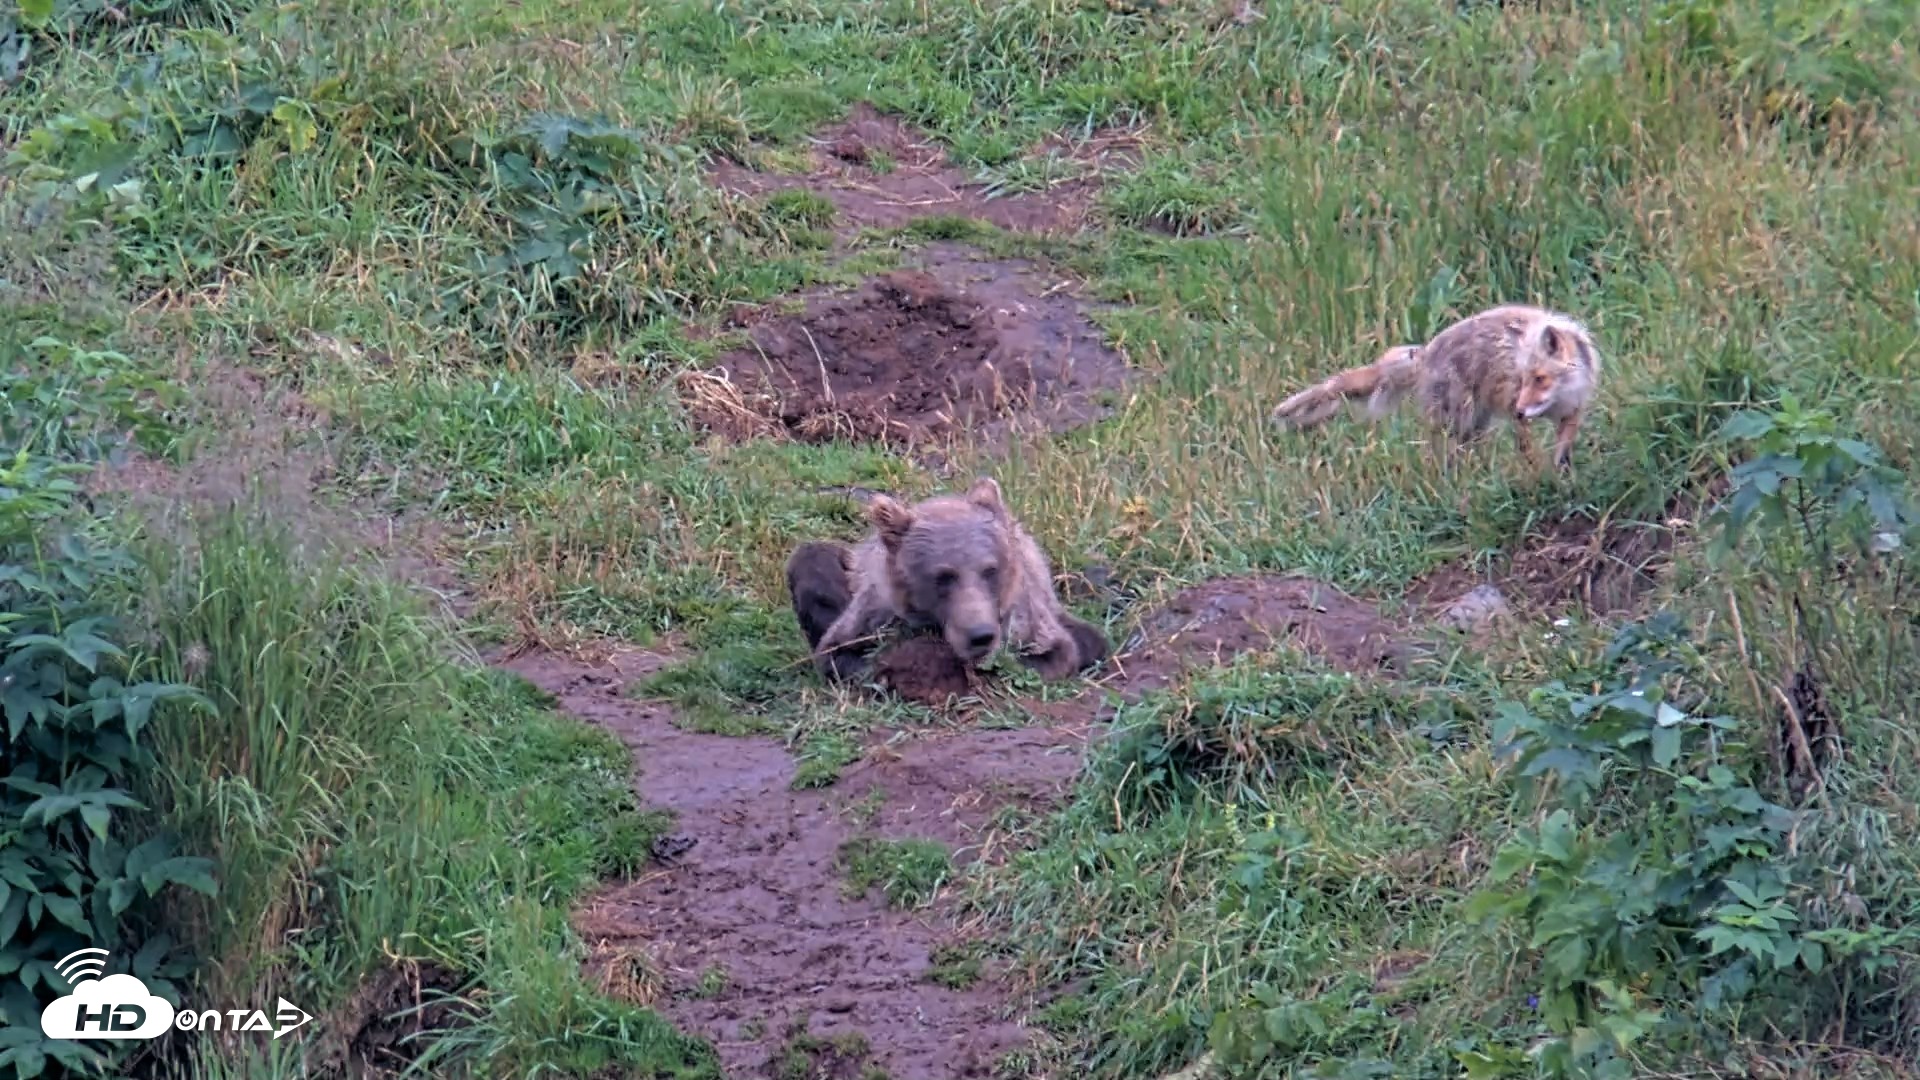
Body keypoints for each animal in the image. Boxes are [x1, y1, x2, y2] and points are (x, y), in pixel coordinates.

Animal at [786, 476, 1111, 685]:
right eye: (943, 576)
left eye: (990, 570)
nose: (980, 635)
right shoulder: (875, 612)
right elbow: (840, 652)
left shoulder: (1025, 619)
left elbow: (1053, 653)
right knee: (812, 560)